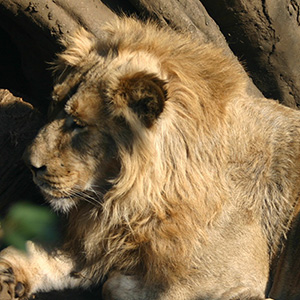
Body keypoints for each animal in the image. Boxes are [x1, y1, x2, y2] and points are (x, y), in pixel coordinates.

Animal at [0, 17, 300, 300]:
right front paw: (7, 276)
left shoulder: (238, 278)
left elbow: (120, 285)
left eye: (79, 124)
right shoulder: (96, 239)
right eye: (54, 104)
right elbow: (29, 250)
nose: (29, 164)